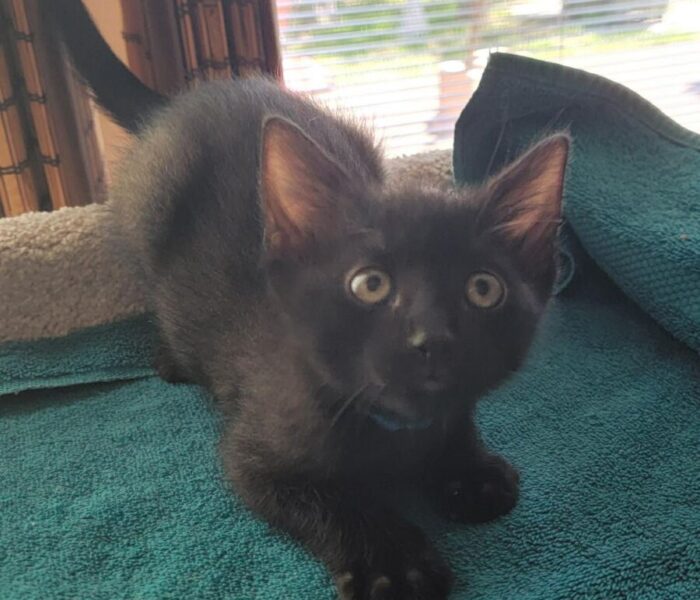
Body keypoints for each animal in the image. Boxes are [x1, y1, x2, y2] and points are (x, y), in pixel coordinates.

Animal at [50, 2, 569, 598]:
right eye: (370, 285)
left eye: (483, 289)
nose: (433, 339)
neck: (392, 433)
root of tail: (183, 100)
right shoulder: (253, 453)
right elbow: (326, 498)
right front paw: (394, 560)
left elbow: (457, 415)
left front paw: (470, 469)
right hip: (149, 206)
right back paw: (171, 357)